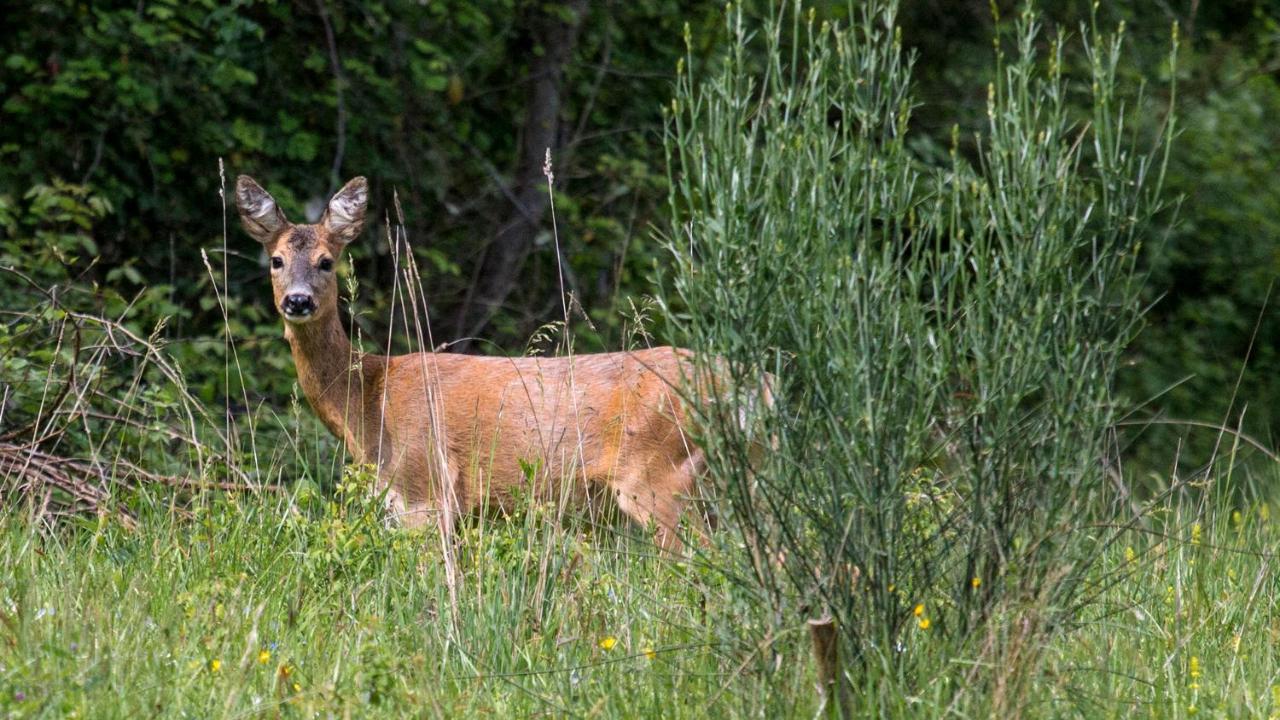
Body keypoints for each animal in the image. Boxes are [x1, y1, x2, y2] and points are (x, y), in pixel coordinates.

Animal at [235, 174, 706, 548]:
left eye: (326, 262)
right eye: (276, 260)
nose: (298, 301)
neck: (369, 402)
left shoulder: (425, 487)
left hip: (659, 476)